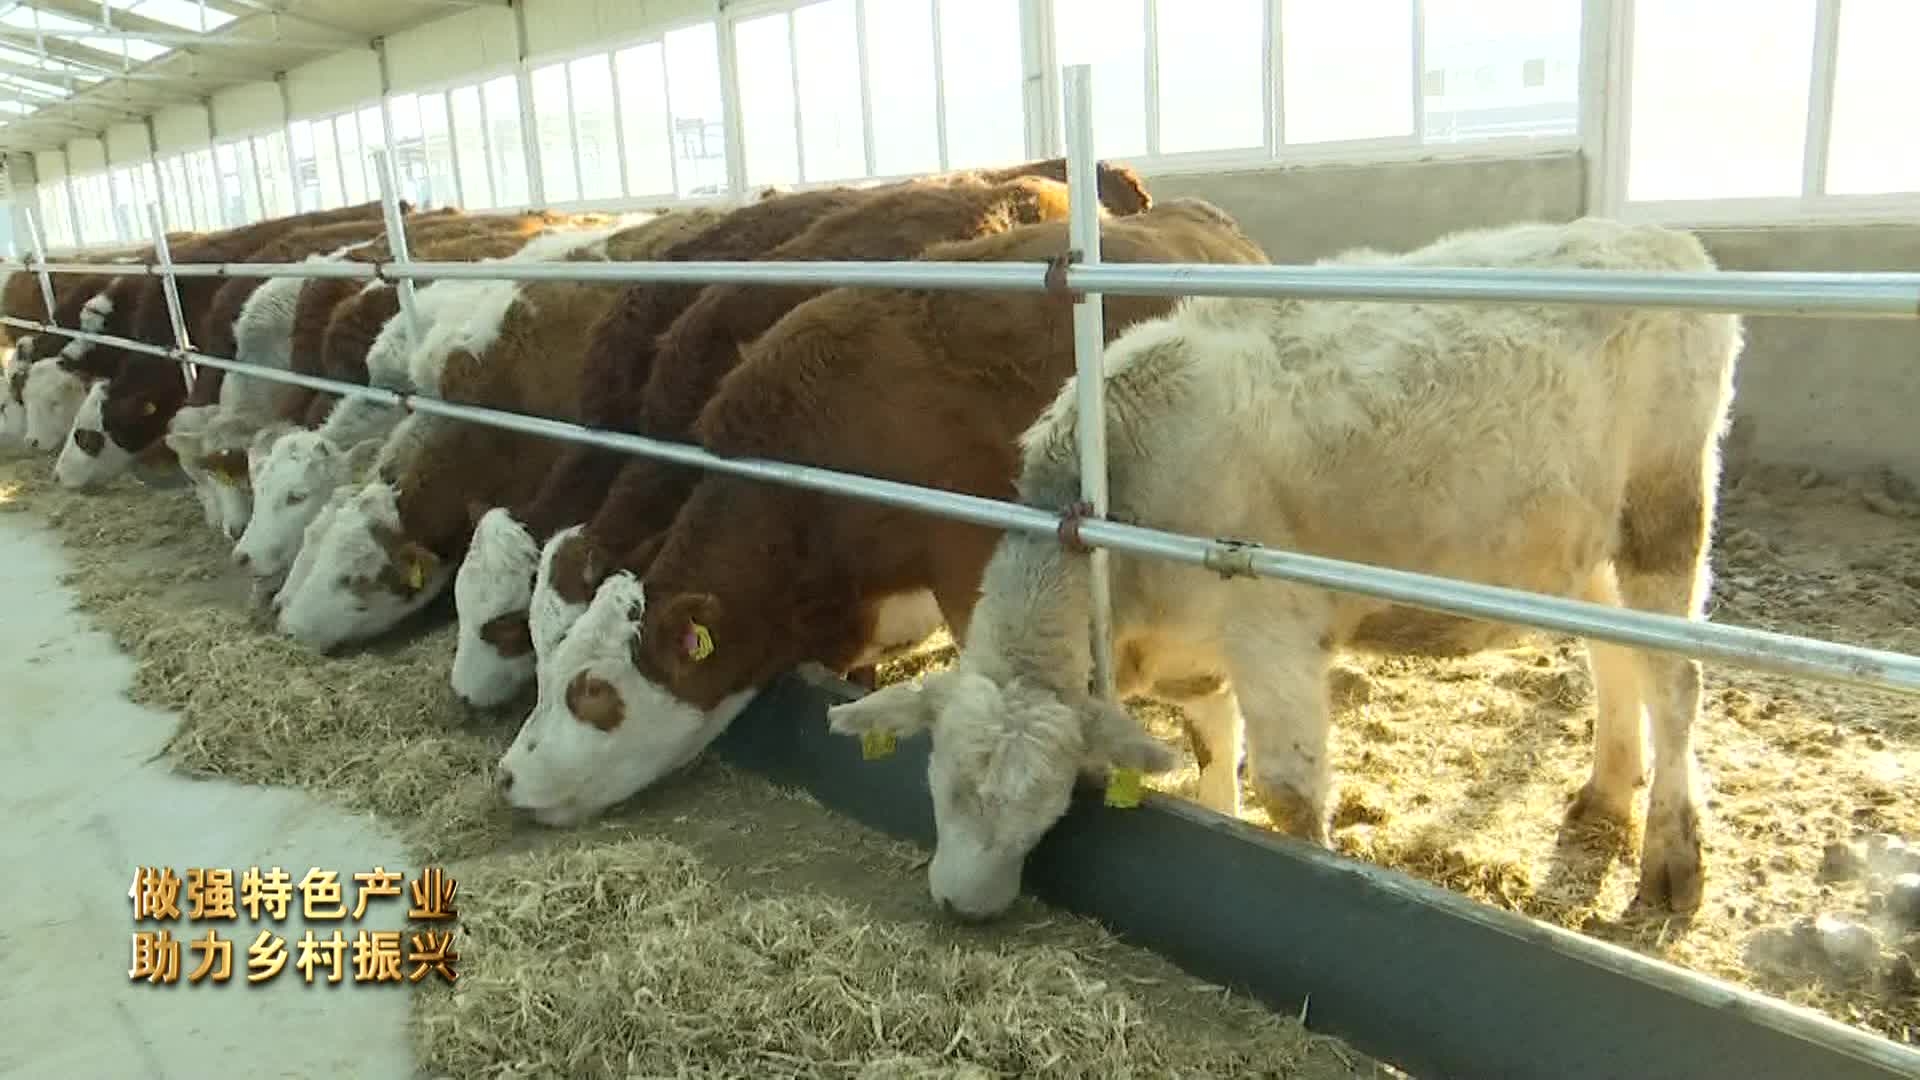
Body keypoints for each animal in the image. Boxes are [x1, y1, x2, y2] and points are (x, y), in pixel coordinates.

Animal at [817, 216, 1751, 914]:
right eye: (937, 786)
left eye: (1044, 808)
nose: (960, 904)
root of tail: (1661, 235)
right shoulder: (1198, 649)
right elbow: (1211, 752)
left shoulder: (1273, 631)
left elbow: (1291, 794)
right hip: (1588, 546)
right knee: (1617, 655)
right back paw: (1607, 794)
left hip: (1667, 508)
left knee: (1677, 680)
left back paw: (1673, 858)